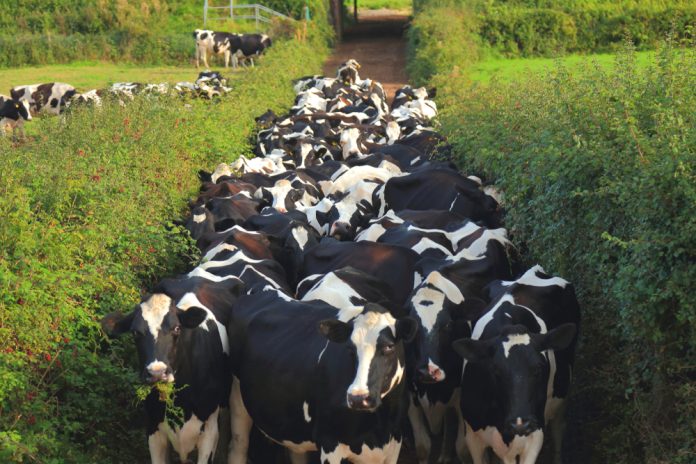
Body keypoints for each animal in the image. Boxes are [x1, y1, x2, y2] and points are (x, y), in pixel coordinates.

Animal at [226, 289, 418, 464]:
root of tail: (262, 292)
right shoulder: (329, 442)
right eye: (349, 348)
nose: (358, 397)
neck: (378, 425)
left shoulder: (395, 442)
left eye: (389, 347)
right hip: (237, 400)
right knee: (238, 447)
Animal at [452, 265, 580, 464]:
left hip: (562, 392)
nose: (521, 422)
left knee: (559, 428)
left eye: (539, 368)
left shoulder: (535, 435)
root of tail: (535, 270)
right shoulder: (473, 436)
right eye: (495, 371)